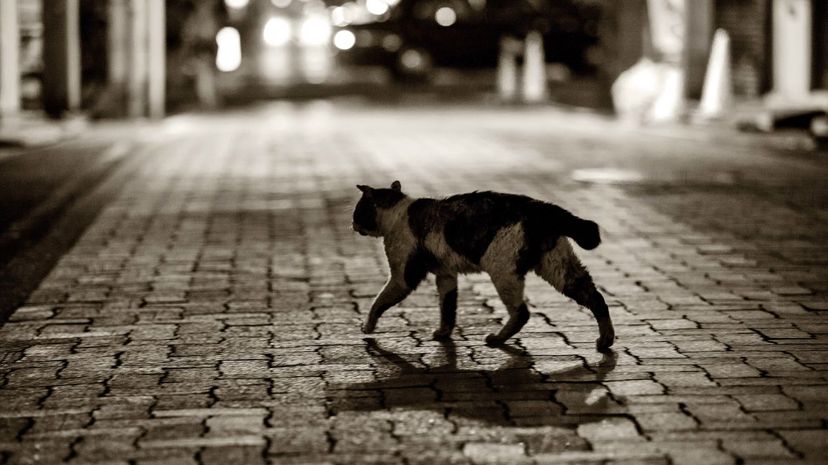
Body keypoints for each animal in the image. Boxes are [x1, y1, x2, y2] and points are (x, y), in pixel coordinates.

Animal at [350, 179, 616, 350]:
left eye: (357, 212)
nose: (351, 225)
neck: (397, 213)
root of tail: (543, 208)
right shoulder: (446, 275)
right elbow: (447, 308)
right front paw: (444, 333)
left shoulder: (403, 276)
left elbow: (378, 302)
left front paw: (367, 327)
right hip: (559, 268)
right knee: (596, 298)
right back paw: (605, 341)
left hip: (502, 270)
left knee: (522, 313)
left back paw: (497, 339)